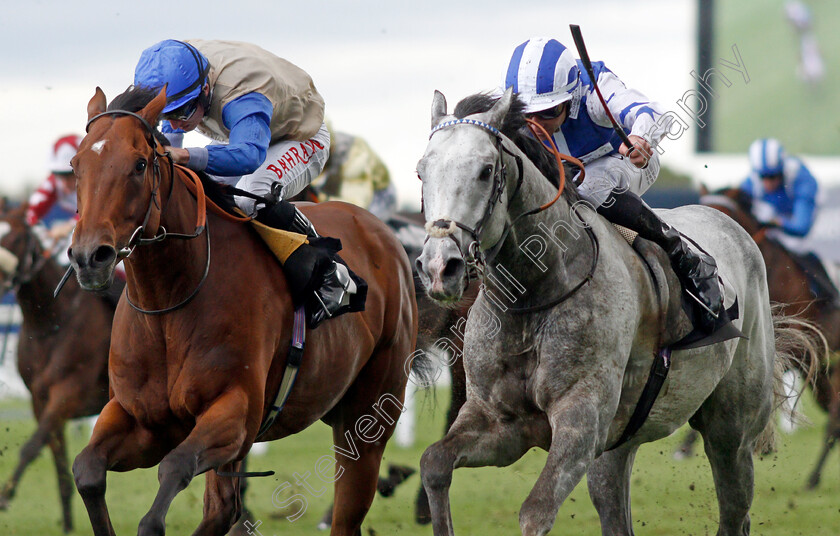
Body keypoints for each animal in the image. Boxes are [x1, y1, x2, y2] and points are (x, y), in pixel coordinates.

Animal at [0, 204, 115, 532]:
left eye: (16, 237)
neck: (51, 321)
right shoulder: (40, 401)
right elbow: (59, 461)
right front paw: (67, 526)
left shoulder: (68, 394)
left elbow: (31, 447)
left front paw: (5, 496)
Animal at [67, 86, 420, 532]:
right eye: (76, 165)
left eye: (139, 164)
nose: (88, 257)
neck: (169, 303)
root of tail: (383, 233)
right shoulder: (141, 419)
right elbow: (88, 470)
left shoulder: (235, 412)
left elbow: (173, 474)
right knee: (223, 508)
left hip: (368, 414)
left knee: (346, 511)